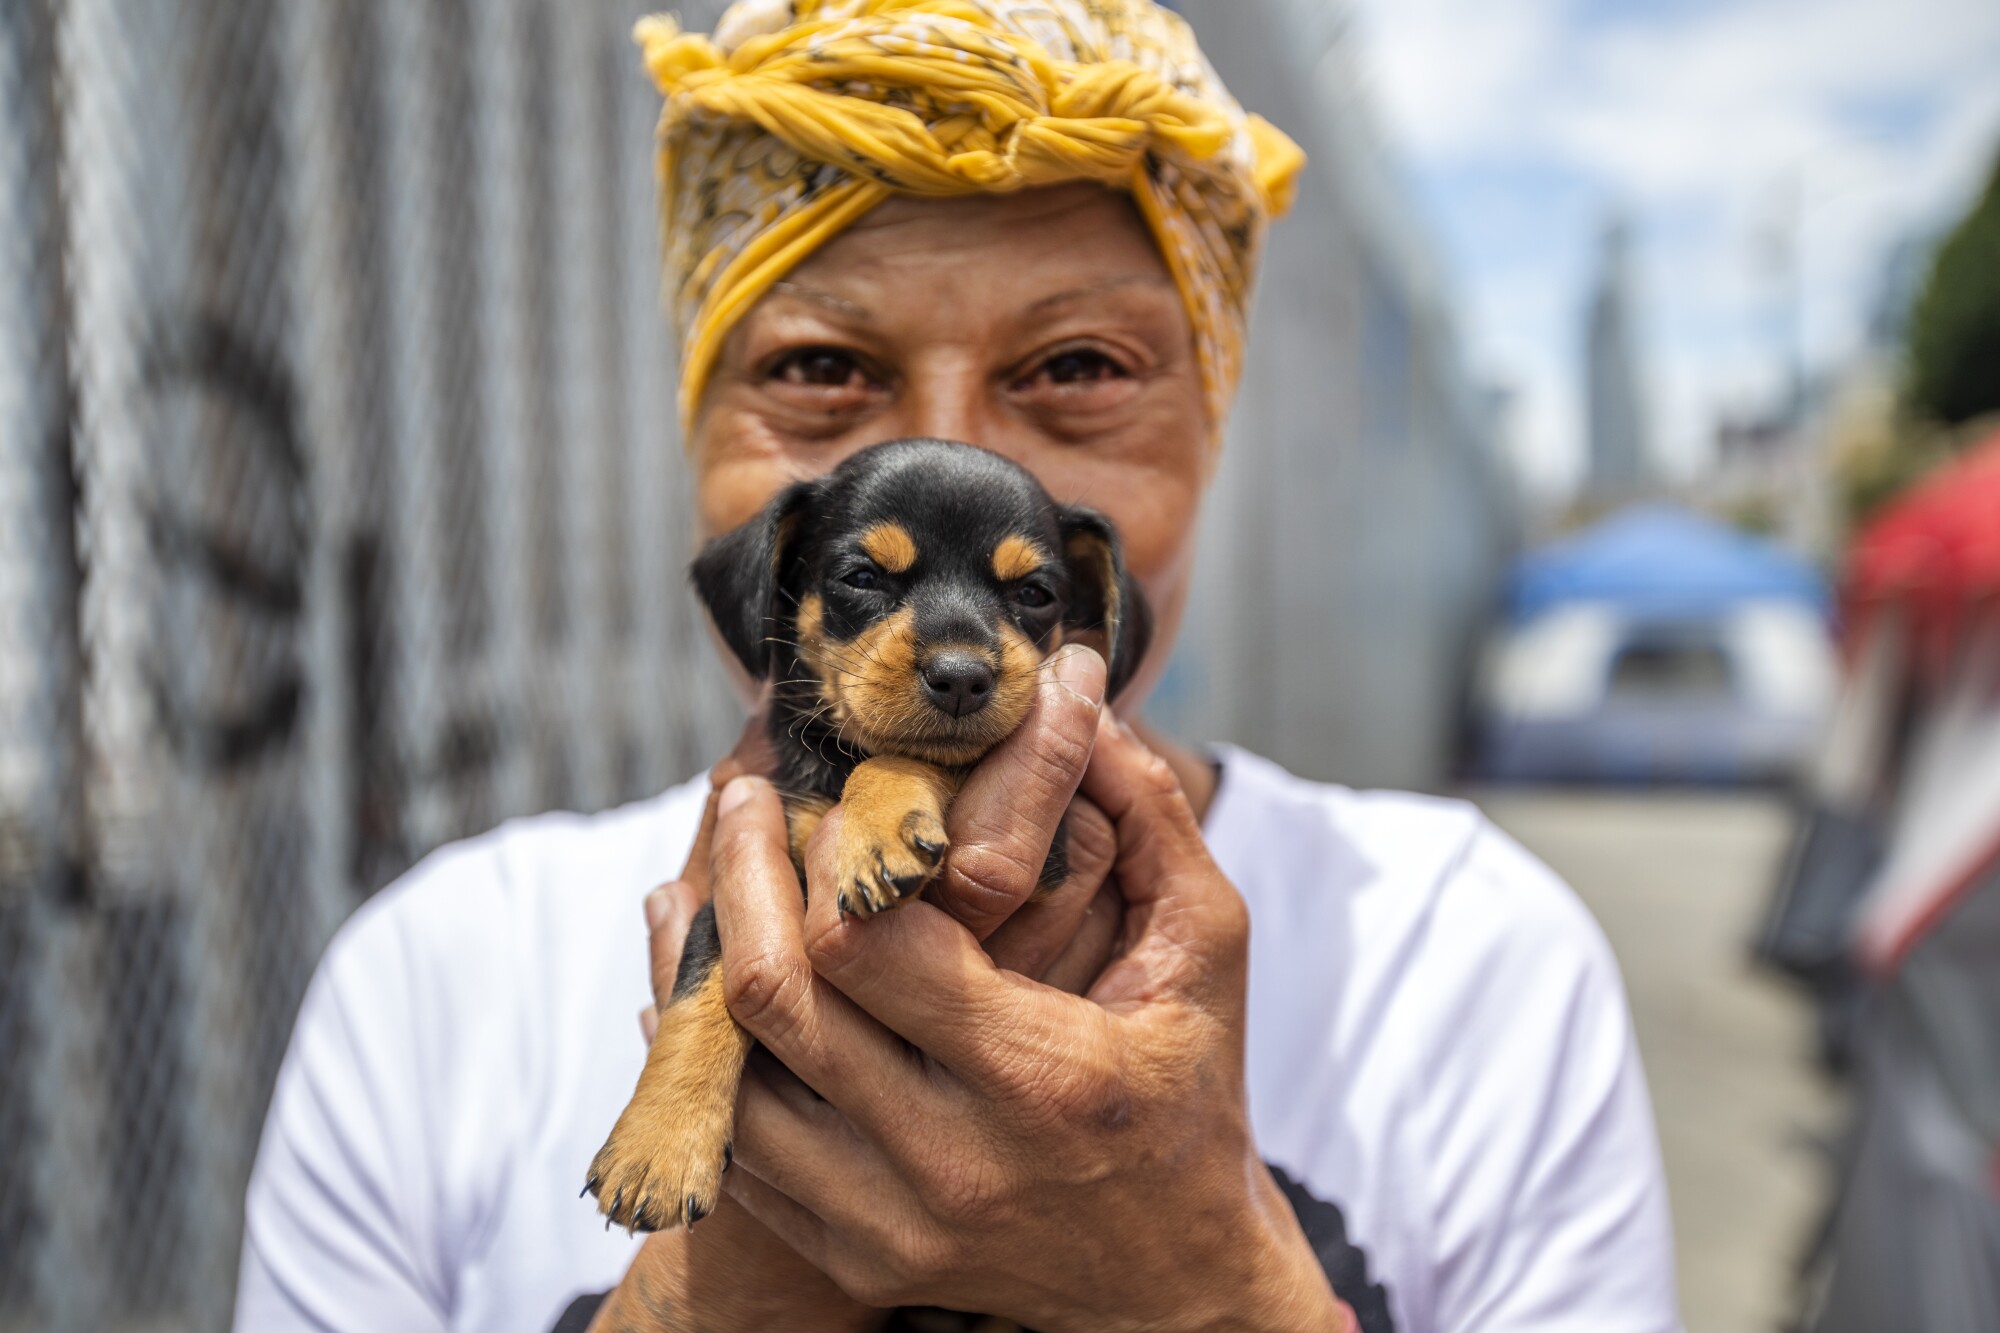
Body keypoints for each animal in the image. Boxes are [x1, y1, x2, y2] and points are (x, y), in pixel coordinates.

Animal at [584, 440, 1152, 1232]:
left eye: (1035, 594)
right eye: (861, 578)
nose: (961, 677)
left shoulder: (1053, 854)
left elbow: (915, 754)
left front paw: (874, 831)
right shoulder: (742, 872)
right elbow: (700, 980)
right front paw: (657, 1149)